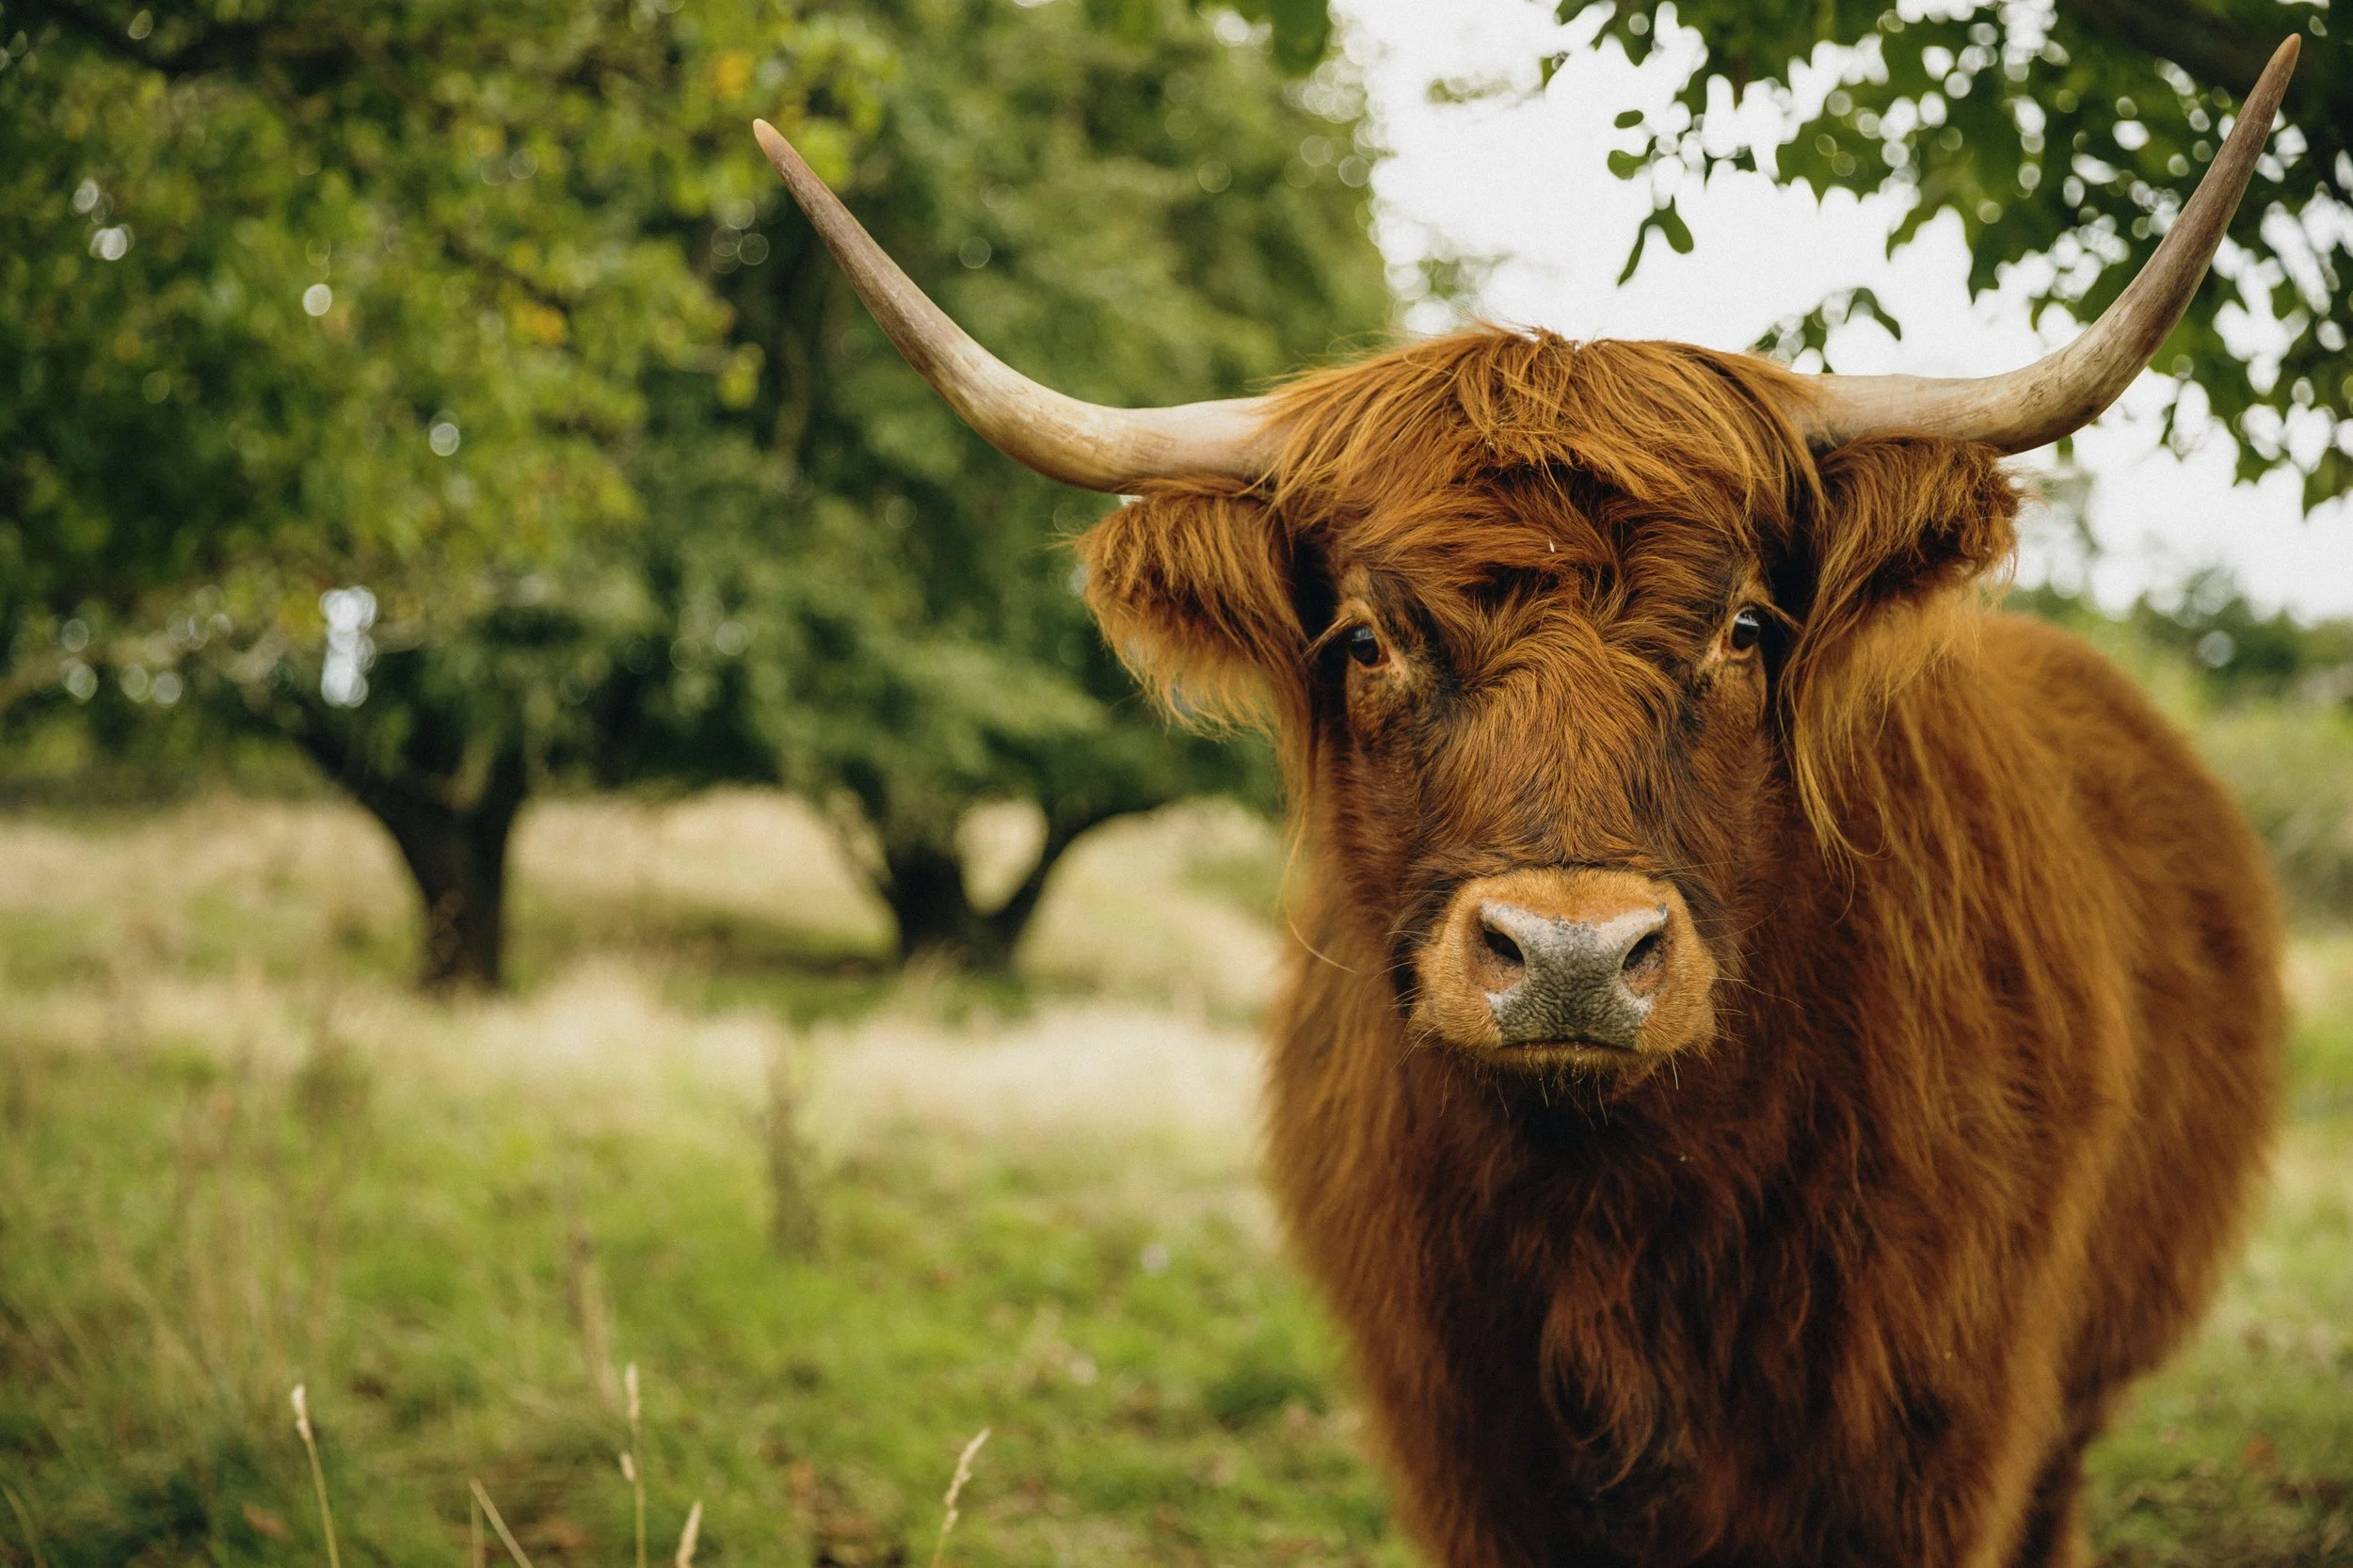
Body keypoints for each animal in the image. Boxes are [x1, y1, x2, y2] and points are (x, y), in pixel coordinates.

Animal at [754, 37, 2298, 1568]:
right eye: (1365, 638)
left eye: (1745, 625)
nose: (1570, 958)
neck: (1612, 1210)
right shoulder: (1466, 1444)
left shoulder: (1934, 1439)